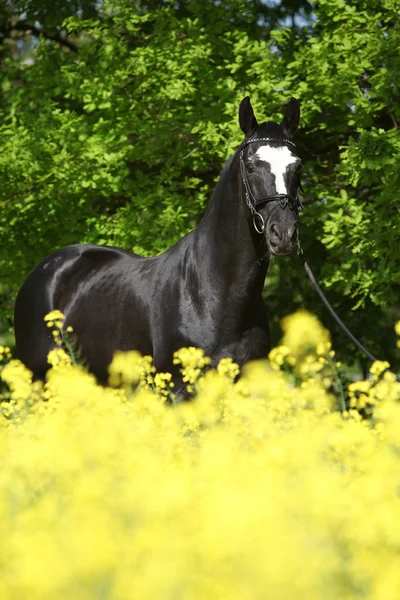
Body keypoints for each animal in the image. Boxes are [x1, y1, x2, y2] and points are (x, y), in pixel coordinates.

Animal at [13, 96, 304, 392]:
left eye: (298, 166)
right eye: (251, 166)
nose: (283, 233)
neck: (213, 294)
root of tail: (48, 267)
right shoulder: (178, 387)